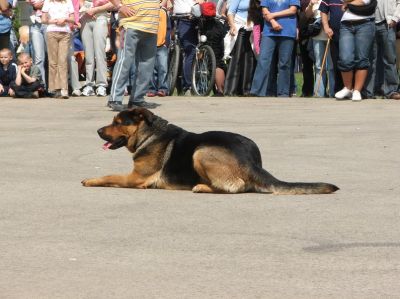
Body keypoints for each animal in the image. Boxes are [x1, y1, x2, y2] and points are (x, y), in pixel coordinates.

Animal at [83, 108, 340, 195]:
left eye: (117, 122)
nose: (97, 130)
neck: (149, 133)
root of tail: (251, 161)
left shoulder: (136, 179)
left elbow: (109, 176)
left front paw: (90, 180)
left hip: (201, 152)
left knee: (234, 187)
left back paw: (201, 187)